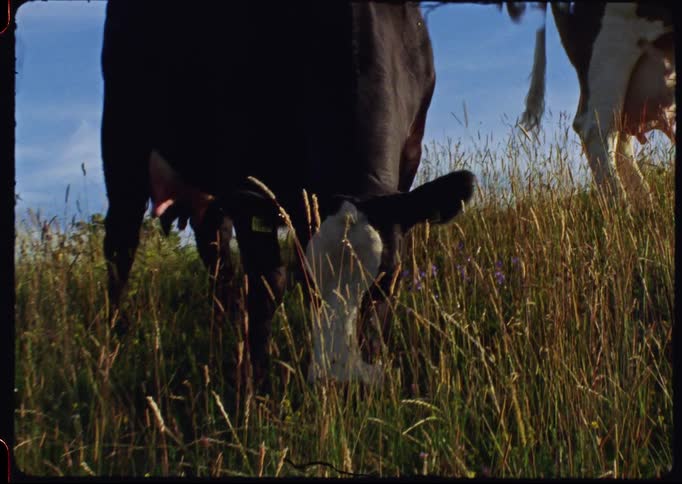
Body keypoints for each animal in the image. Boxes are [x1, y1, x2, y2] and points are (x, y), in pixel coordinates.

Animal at [101, 1, 474, 390]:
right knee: (120, 246)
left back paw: (225, 329)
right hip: (123, 140)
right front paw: (256, 385)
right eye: (308, 283)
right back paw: (115, 341)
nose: (344, 379)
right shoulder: (244, 168)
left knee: (216, 253)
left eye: (387, 280)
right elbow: (268, 284)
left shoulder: (409, 157)